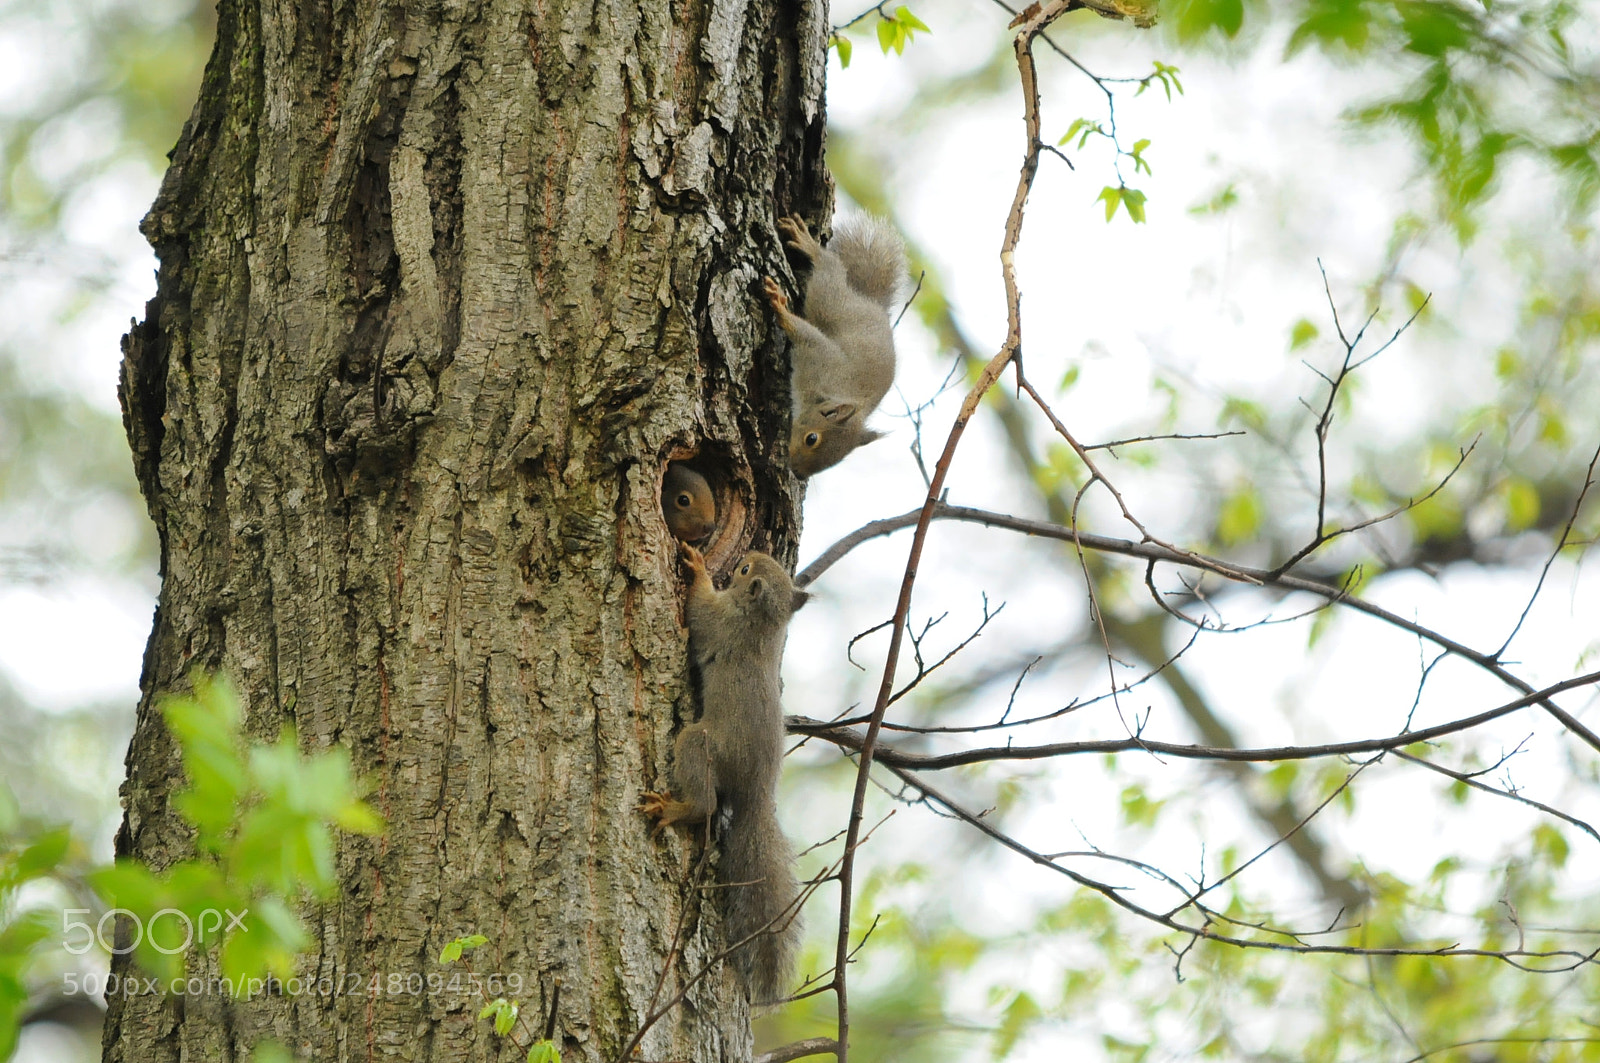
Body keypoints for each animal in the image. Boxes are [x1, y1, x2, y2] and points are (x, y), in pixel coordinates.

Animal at [641, 541, 808, 1004]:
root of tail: (756, 792)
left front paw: (698, 568)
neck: (763, 623)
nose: (749, 552)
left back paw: (676, 809)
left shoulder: (720, 621)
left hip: (698, 745)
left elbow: (699, 610)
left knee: (706, 804)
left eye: (746, 569)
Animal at [762, 213, 906, 479]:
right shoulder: (821, 355)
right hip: (831, 303)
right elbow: (806, 333)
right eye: (812, 439)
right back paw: (810, 246)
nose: (797, 473)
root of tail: (873, 305)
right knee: (830, 271)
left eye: (837, 462)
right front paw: (781, 309)